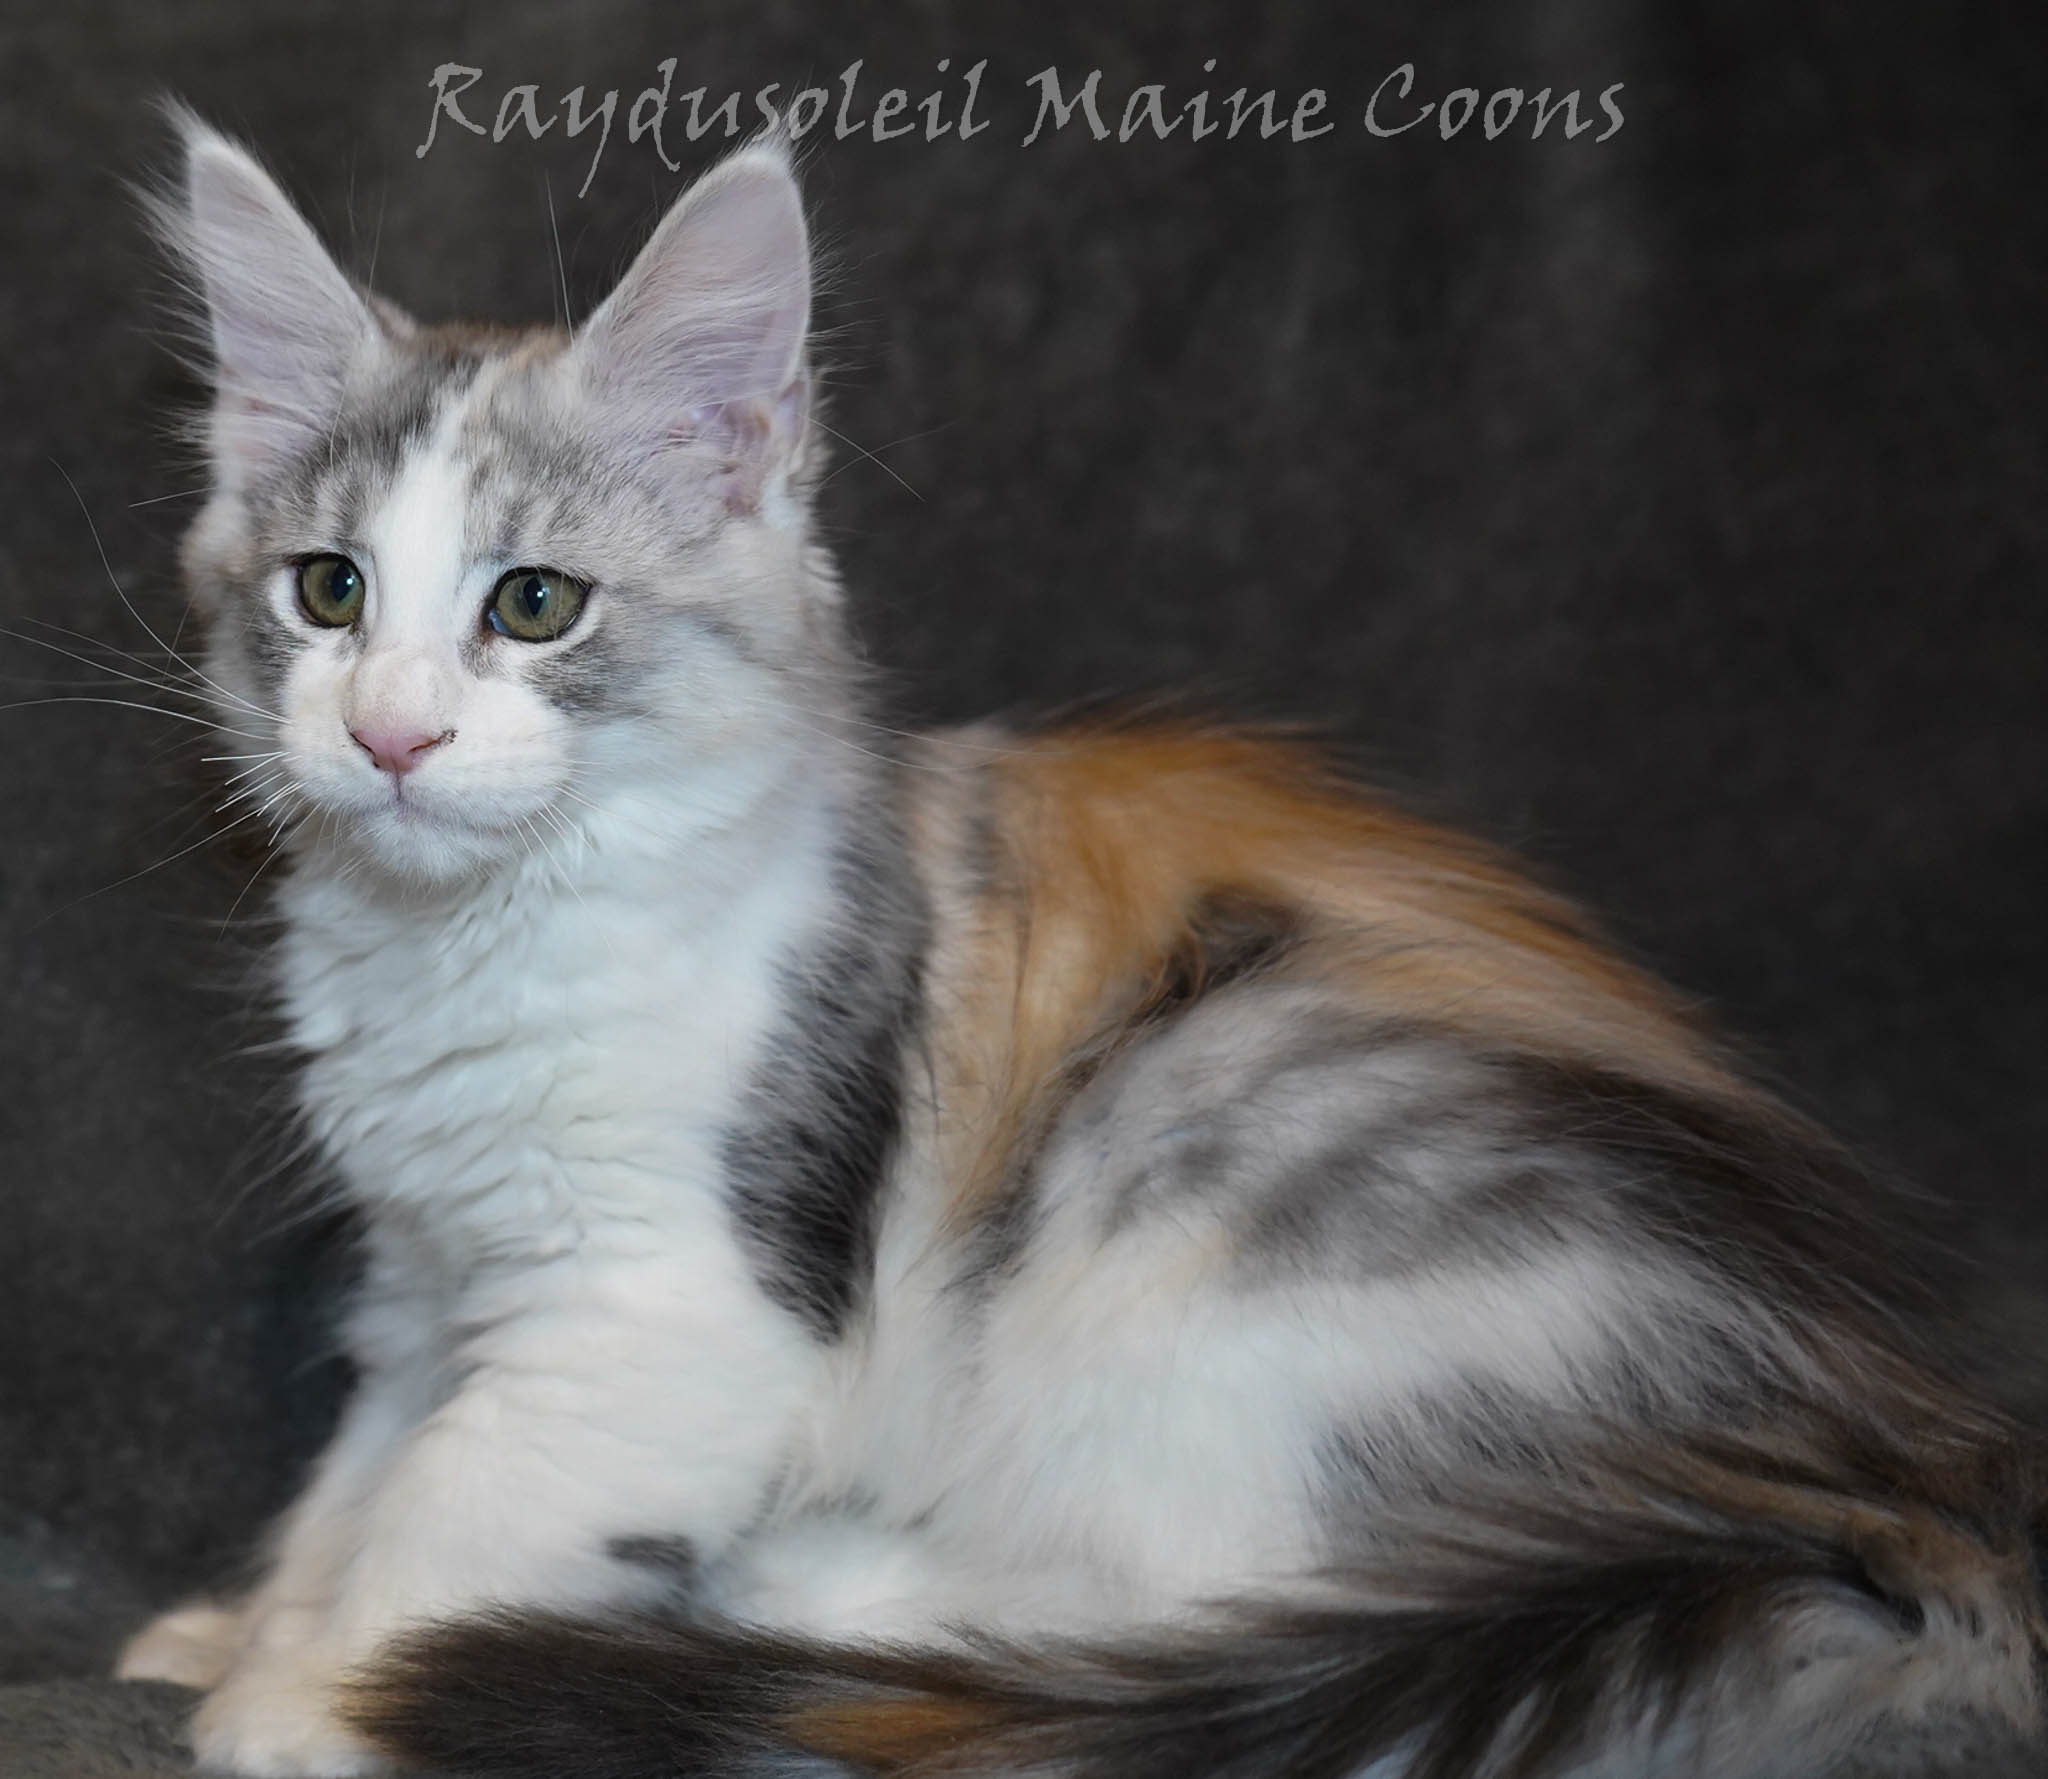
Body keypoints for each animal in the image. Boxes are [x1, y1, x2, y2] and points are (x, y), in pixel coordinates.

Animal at [111, 109, 2046, 1779]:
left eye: (533, 605)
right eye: (329, 592)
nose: (390, 735)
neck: (475, 936)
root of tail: (1884, 1463)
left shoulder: (668, 1302)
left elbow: (457, 1498)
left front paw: (324, 1698)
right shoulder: (428, 1267)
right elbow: (363, 1470)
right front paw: (250, 1633)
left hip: (1199, 1188)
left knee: (1187, 1602)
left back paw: (813, 1592)